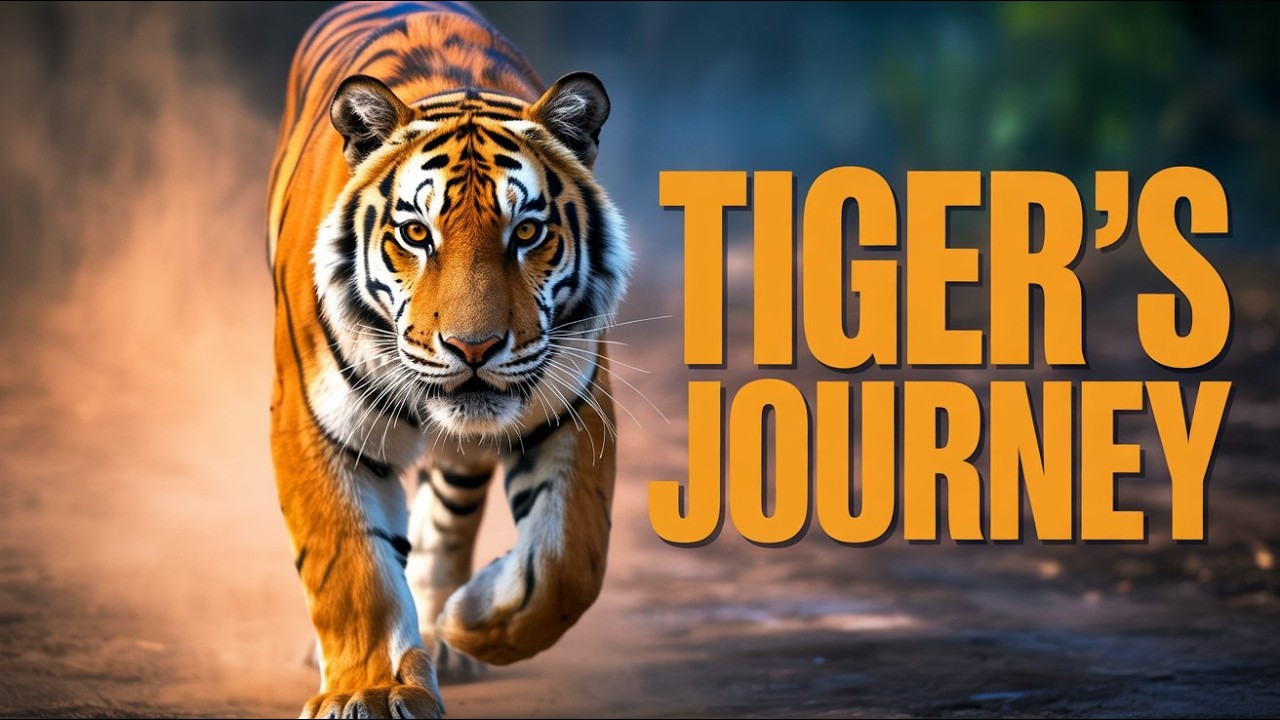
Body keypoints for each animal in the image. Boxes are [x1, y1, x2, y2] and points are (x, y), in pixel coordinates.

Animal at [266, 2, 630, 717]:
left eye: (527, 232)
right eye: (416, 233)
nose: (474, 348)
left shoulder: (574, 404)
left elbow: (568, 564)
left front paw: (469, 620)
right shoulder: (312, 422)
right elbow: (351, 567)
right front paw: (371, 691)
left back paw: (444, 633)